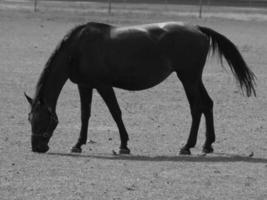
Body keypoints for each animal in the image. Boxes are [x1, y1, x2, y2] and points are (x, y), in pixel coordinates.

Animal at [25, 21, 258, 155]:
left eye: (43, 120)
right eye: (30, 119)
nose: (37, 147)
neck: (78, 47)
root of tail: (198, 29)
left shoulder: (103, 85)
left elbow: (115, 112)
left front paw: (124, 145)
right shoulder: (85, 85)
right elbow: (85, 115)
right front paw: (78, 144)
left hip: (188, 78)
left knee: (196, 107)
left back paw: (187, 146)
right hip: (193, 78)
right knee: (207, 104)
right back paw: (207, 144)